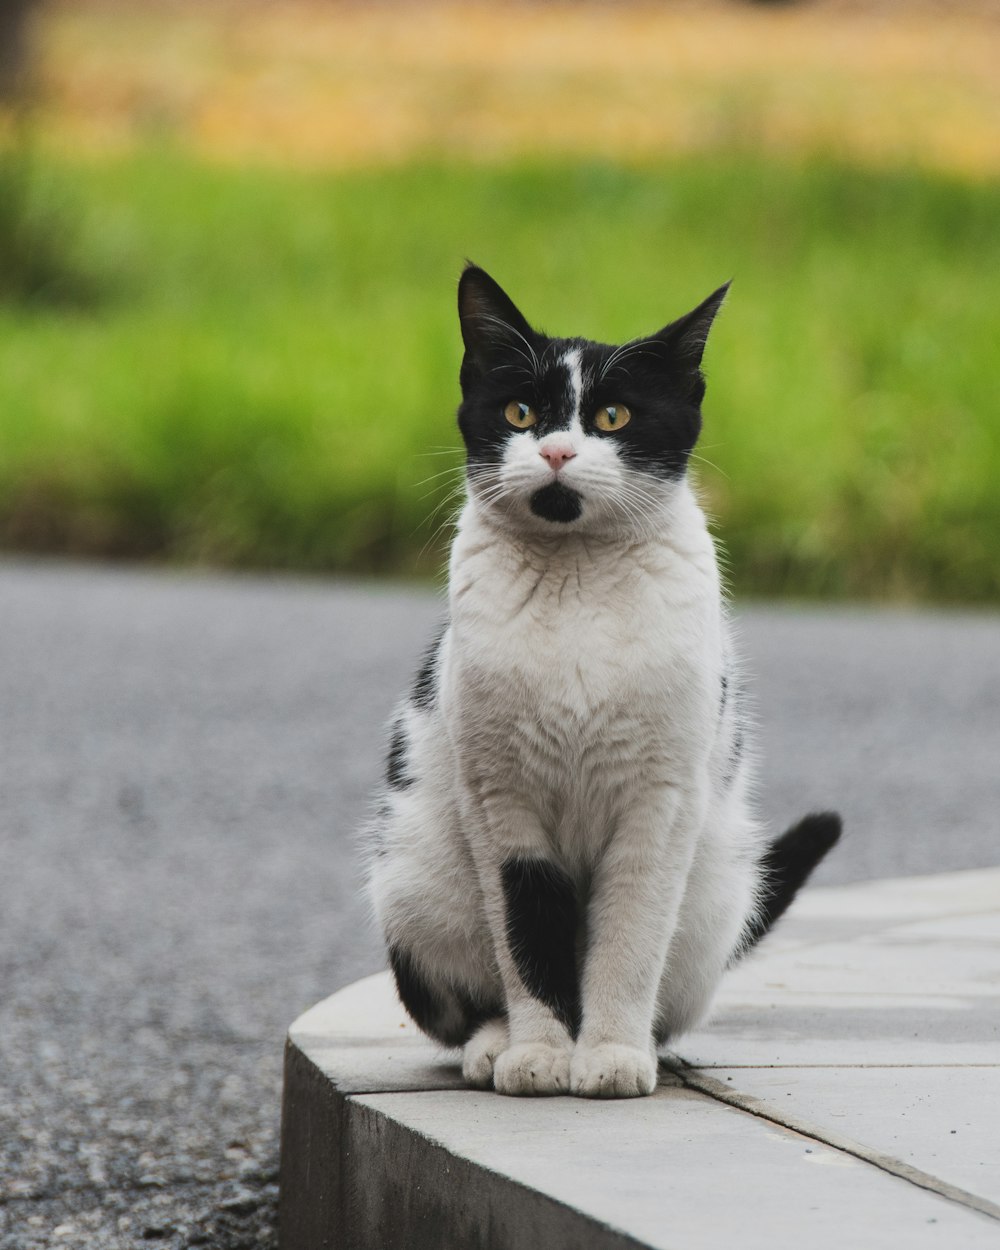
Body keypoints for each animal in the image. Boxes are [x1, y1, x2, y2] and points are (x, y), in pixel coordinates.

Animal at [362, 268, 840, 1100]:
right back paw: (495, 1044)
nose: (556, 450)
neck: (576, 578)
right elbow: (527, 937)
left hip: (715, 894)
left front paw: (611, 1055)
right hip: (417, 876)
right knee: (465, 1002)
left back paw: (641, 1043)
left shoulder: (659, 803)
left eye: (613, 415)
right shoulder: (503, 802)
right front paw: (541, 1055)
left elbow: (627, 941)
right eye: (520, 412)